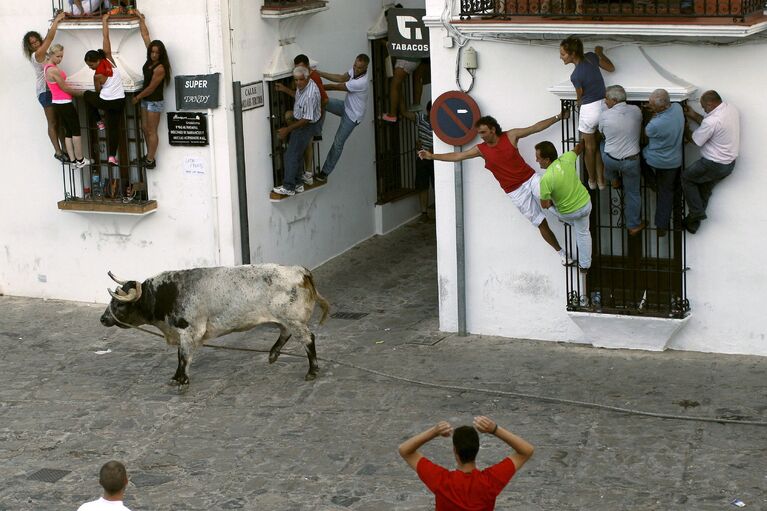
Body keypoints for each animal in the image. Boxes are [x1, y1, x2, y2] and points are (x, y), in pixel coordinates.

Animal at [99, 264, 330, 384]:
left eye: (119, 304)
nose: (103, 319)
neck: (167, 293)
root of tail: (301, 271)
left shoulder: (190, 330)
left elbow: (183, 356)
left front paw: (181, 379)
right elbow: (182, 356)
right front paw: (178, 377)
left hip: (293, 319)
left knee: (308, 339)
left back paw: (312, 371)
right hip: (286, 318)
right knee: (285, 333)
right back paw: (273, 354)